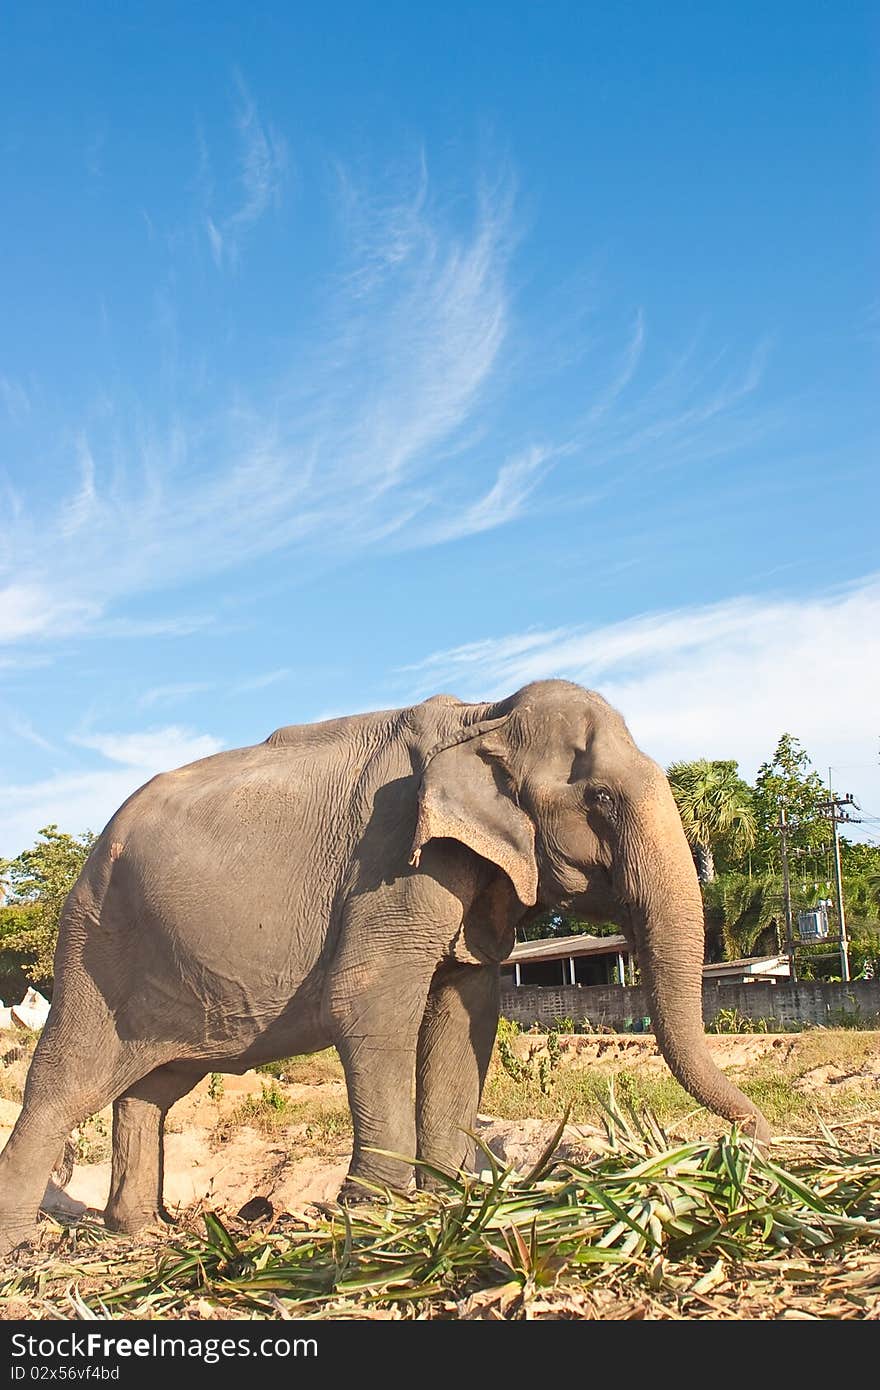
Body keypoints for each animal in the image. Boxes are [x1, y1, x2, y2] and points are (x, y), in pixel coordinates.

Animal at [0, 678, 767, 1256]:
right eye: (600, 798)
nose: (749, 1142)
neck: (482, 714)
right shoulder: (394, 857)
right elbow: (369, 1000)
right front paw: (375, 1207)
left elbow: (467, 1010)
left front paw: (449, 1194)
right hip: (96, 941)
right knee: (62, 1084)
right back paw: (24, 1247)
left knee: (152, 1089)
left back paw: (140, 1235)